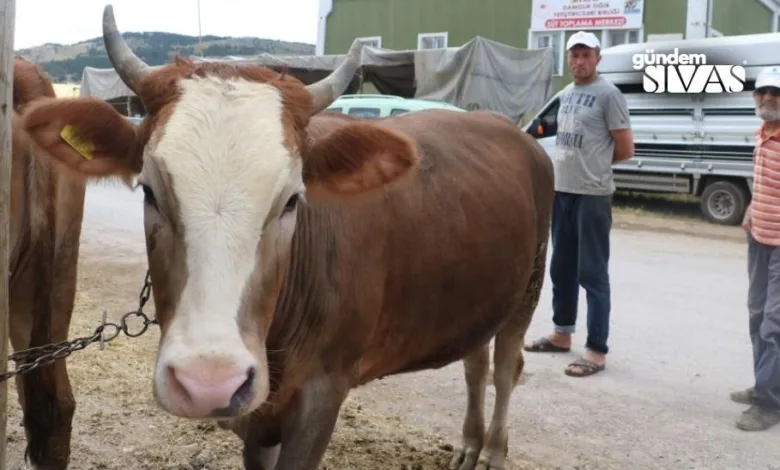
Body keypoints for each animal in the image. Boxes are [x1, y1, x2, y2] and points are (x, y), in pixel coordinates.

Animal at [21, 4, 556, 470]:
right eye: (149, 190)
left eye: (293, 199)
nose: (207, 383)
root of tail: (508, 127)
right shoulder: (255, 416)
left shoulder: (323, 393)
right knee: (475, 362)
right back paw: (469, 445)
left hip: (531, 282)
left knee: (506, 366)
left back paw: (493, 450)